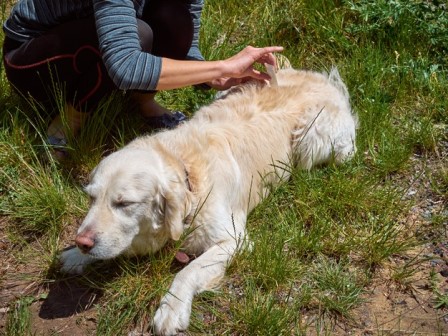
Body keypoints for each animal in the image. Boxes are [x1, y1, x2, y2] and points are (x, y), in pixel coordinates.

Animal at [61, 66, 358, 336]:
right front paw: (74, 255)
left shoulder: (234, 240)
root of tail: (327, 80)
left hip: (312, 139)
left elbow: (189, 270)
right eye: (91, 198)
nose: (83, 242)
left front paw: (172, 309)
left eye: (124, 204)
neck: (187, 172)